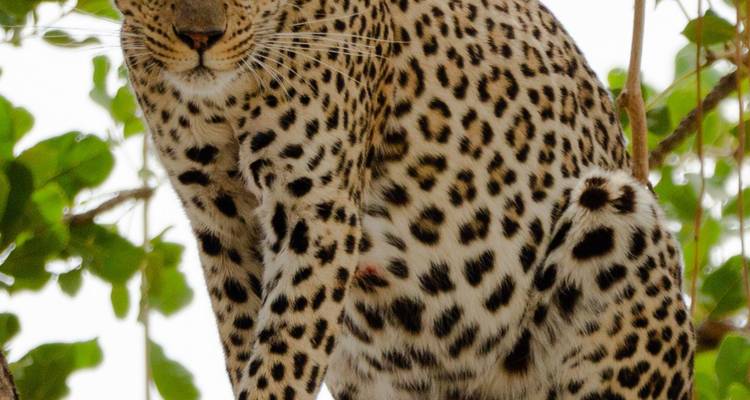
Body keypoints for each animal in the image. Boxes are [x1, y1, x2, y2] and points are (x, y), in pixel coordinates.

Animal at [113, 0, 695, 398]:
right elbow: (248, 338)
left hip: (614, 212)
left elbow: (287, 348)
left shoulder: (315, 205)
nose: (200, 36)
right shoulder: (223, 220)